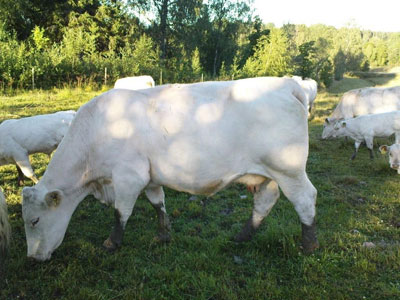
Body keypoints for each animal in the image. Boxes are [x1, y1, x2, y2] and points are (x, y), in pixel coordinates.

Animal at [20, 77, 318, 260]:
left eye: (34, 221)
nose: (32, 258)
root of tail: (287, 84)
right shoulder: (150, 176)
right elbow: (158, 203)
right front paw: (163, 235)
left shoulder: (128, 176)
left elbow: (121, 211)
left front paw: (112, 243)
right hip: (266, 174)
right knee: (265, 201)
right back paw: (241, 236)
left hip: (288, 169)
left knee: (305, 199)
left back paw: (309, 245)